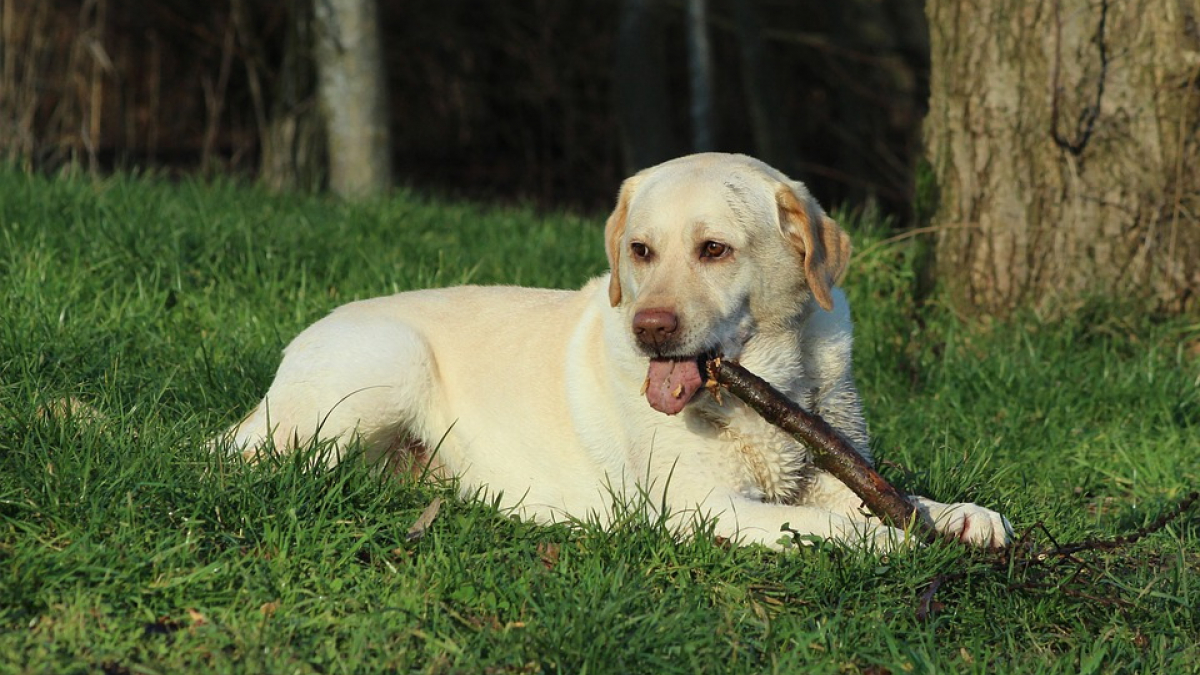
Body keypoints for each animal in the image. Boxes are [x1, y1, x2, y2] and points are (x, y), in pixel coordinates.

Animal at [218, 154, 1012, 550]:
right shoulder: (698, 506)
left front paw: (962, 515)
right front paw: (889, 538)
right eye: (641, 250)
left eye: (714, 249)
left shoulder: (821, 468)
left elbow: (895, 495)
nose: (649, 327)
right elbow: (835, 523)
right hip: (385, 363)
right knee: (258, 462)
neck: (768, 387)